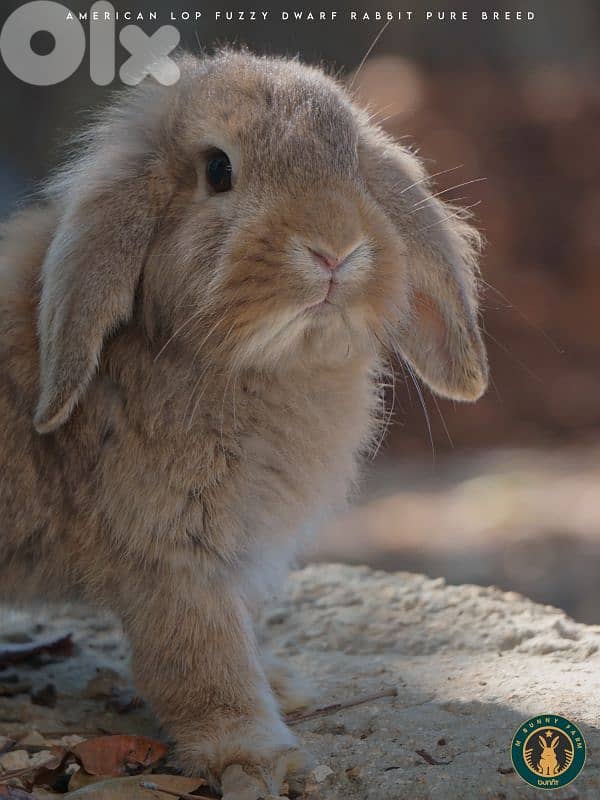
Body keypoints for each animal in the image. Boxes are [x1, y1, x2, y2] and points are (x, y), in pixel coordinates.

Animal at [0, 49, 488, 797]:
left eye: (351, 163)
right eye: (218, 170)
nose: (335, 249)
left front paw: (283, 685)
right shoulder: (176, 558)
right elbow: (204, 664)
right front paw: (259, 757)